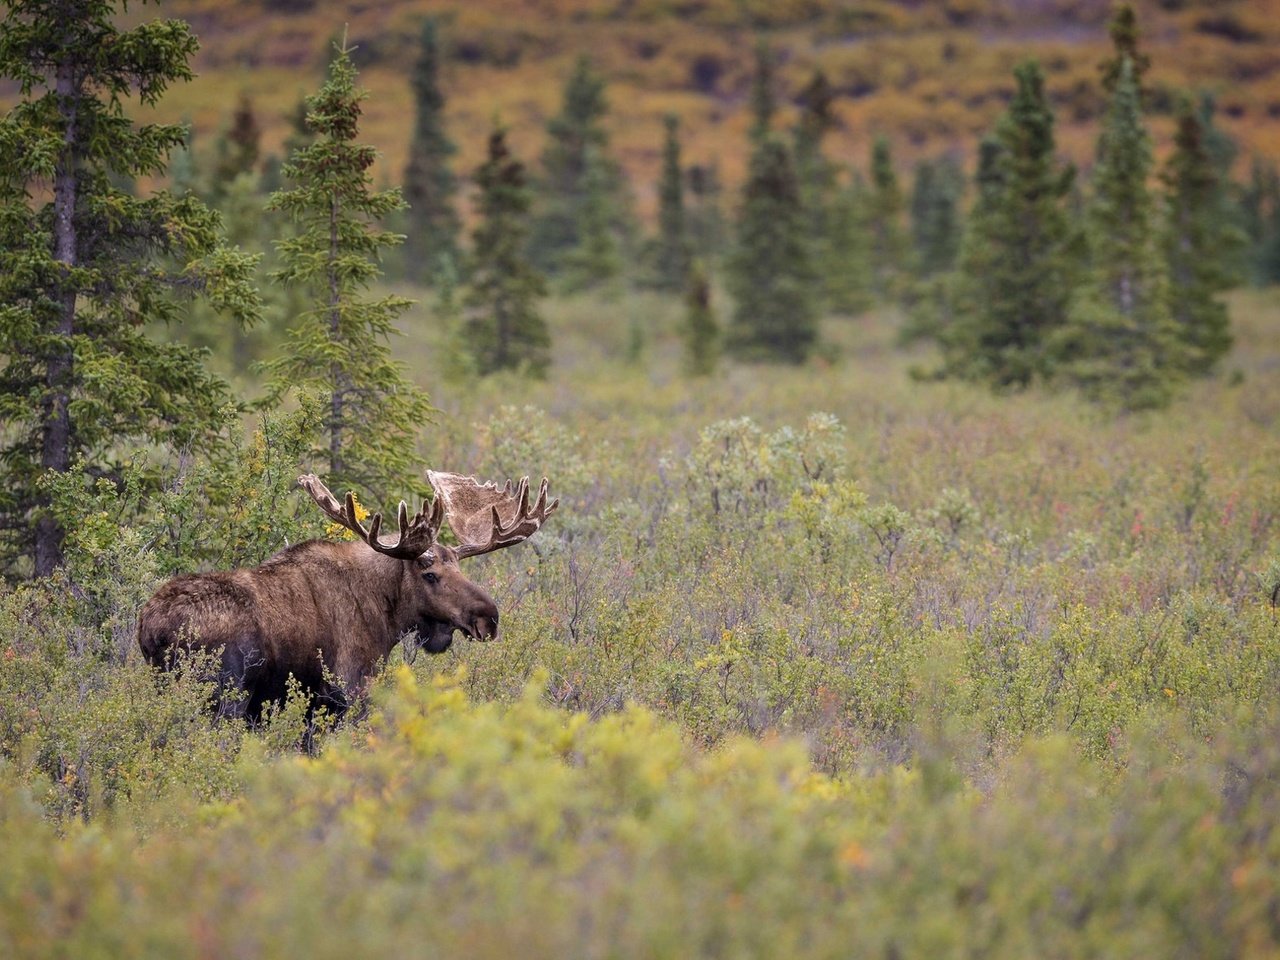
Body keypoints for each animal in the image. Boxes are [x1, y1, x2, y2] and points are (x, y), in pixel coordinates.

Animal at [137, 473, 558, 721]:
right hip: (224, 695)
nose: (489, 617)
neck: (387, 615)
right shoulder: (350, 689)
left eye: (460, 568)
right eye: (430, 574)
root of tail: (150, 629)